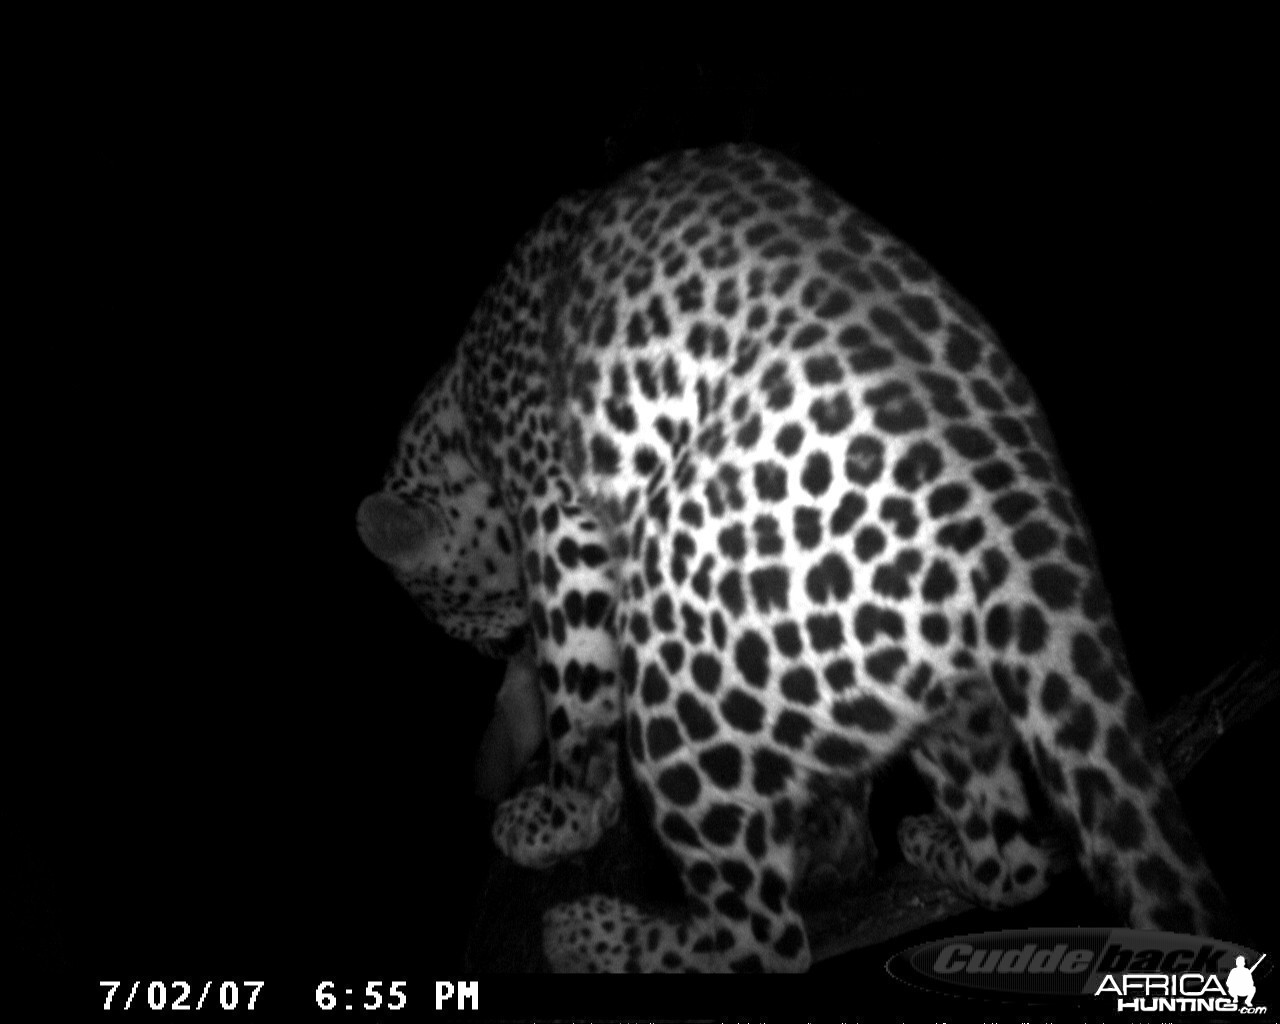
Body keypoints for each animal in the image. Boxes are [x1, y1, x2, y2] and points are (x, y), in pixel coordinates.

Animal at [358, 142, 1228, 967]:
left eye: (481, 630)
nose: (499, 652)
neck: (460, 397)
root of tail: (1031, 542)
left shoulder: (555, 506)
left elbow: (575, 693)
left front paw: (562, 813)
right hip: (949, 702)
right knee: (1009, 862)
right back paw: (932, 845)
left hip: (684, 663)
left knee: (764, 940)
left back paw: (593, 936)